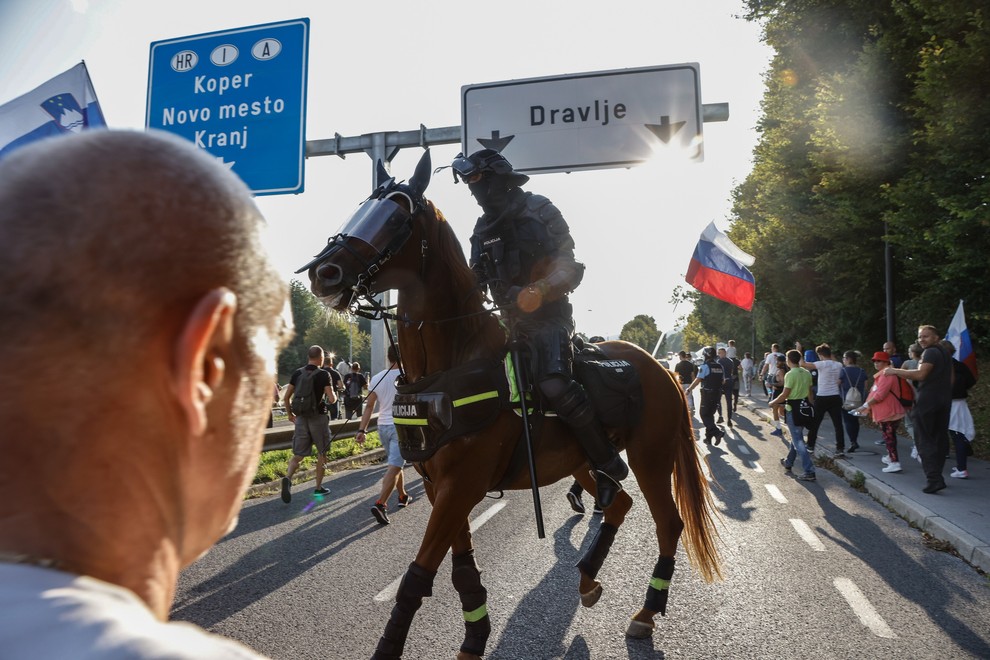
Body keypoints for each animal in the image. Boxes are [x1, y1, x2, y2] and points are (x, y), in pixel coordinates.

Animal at [300, 151, 720, 660]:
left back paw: (645, 611)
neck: (453, 358)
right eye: (363, 206)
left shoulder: (461, 485)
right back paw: (587, 577)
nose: (323, 273)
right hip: (587, 459)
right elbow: (460, 569)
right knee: (617, 501)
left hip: (650, 457)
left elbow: (416, 578)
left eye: (397, 213)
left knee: (667, 522)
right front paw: (474, 638)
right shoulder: (441, 486)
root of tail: (663, 369)